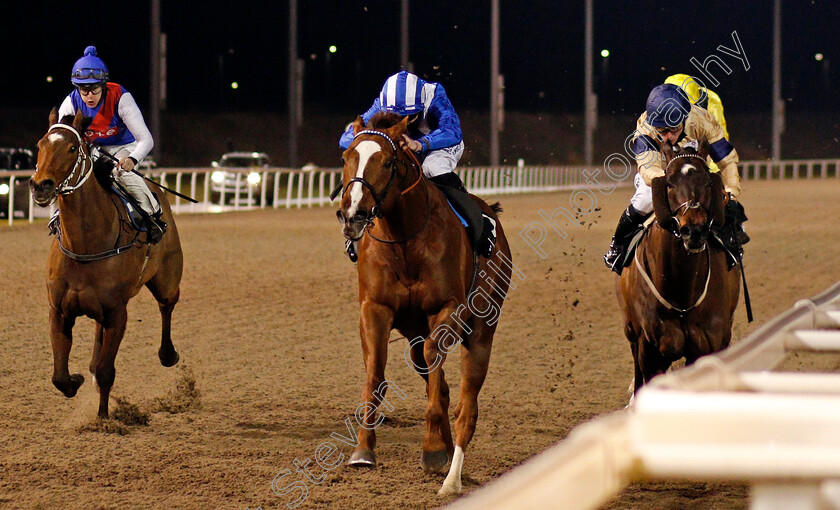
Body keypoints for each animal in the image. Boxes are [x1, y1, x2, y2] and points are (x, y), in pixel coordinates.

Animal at [30, 108, 184, 418]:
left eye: (72, 148)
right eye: (40, 145)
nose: (41, 185)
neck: (84, 245)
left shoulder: (117, 313)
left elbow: (105, 372)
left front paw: (103, 419)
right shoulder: (59, 311)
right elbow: (60, 377)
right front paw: (77, 379)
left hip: (167, 279)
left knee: (167, 305)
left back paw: (168, 354)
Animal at [334, 112, 512, 494]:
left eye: (388, 161)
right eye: (346, 157)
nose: (353, 214)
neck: (405, 240)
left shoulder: (448, 308)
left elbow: (436, 370)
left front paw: (431, 449)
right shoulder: (375, 308)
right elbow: (376, 373)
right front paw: (363, 450)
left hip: (482, 330)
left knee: (466, 401)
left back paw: (451, 468)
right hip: (414, 337)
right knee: (437, 380)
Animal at [616, 140, 740, 394]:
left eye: (707, 181)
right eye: (670, 182)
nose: (694, 230)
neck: (681, 289)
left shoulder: (707, 344)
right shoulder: (650, 350)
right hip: (631, 329)